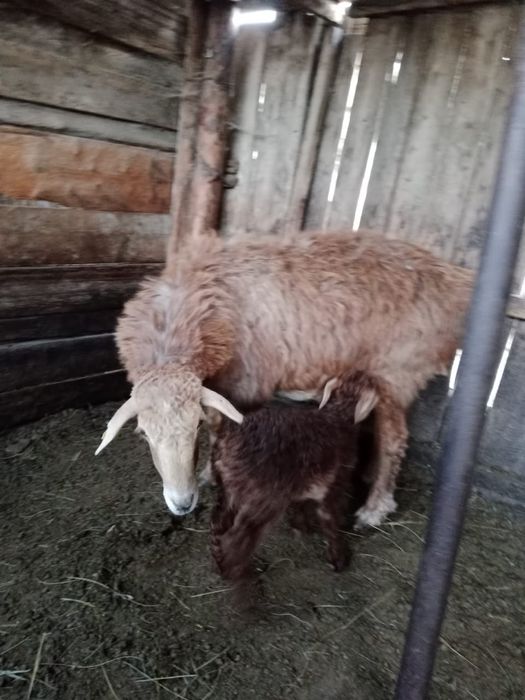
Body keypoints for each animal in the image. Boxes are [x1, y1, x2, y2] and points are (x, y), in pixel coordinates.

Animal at [95, 229, 473, 527]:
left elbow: (224, 432)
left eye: (194, 426)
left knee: (395, 441)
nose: (182, 503)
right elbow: (218, 427)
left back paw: (375, 509)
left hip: (398, 374)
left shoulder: (244, 387)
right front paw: (207, 475)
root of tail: (455, 279)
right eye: (143, 433)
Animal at [210, 370, 379, 587]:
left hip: (231, 489)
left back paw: (221, 567)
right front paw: (338, 559)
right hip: (262, 498)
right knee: (235, 538)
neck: (339, 414)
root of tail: (228, 441)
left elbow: (302, 503)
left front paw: (300, 527)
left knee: (217, 525)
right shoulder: (335, 482)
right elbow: (331, 521)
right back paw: (242, 576)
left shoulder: (302, 480)